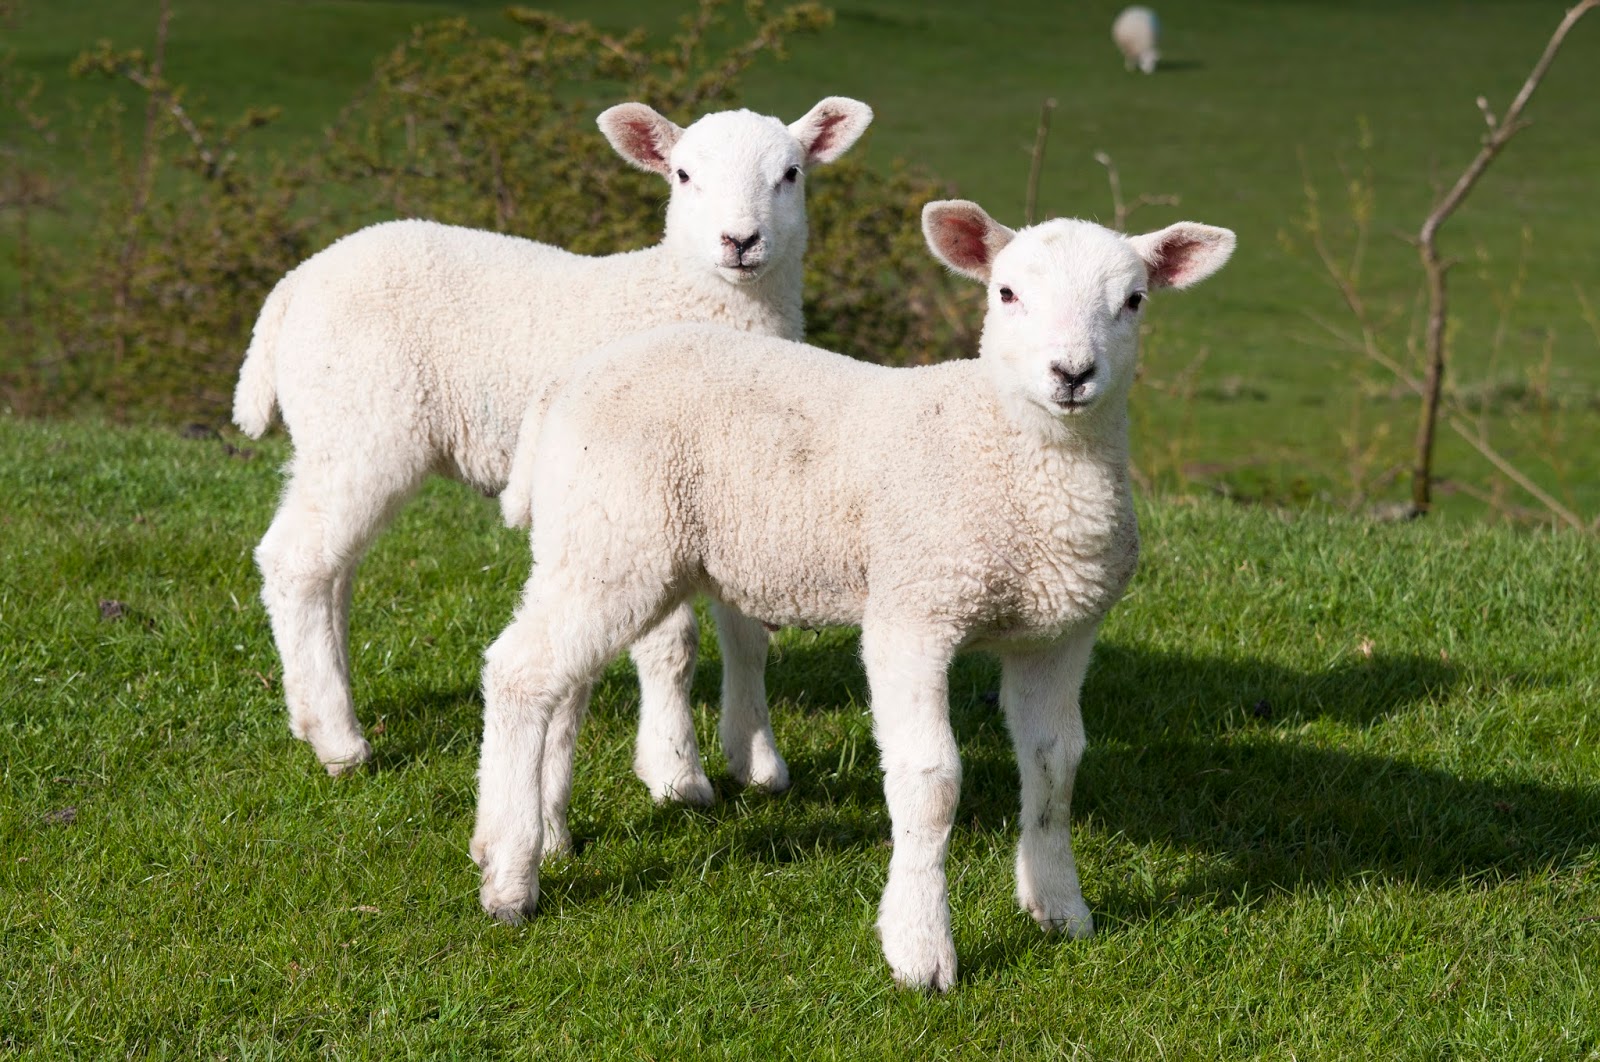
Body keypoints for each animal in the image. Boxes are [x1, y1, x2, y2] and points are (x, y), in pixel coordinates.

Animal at [233, 98, 874, 813]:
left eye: (791, 173)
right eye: (682, 175)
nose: (740, 241)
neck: (685, 298)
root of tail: (293, 286)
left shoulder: (737, 492)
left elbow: (748, 634)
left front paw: (757, 761)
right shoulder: (648, 500)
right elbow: (672, 646)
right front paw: (675, 772)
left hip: (333, 434)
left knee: (331, 570)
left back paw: (316, 707)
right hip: (362, 422)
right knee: (296, 561)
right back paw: (336, 738)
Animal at [473, 199, 1235, 990]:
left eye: (1134, 300)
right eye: (1006, 293)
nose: (1073, 373)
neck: (1016, 457)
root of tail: (566, 386)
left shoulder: (1057, 633)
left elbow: (1057, 765)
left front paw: (1059, 908)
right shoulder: (913, 611)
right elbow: (931, 780)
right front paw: (921, 948)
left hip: (590, 543)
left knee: (563, 681)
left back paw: (542, 833)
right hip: (617, 537)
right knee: (520, 672)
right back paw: (510, 876)